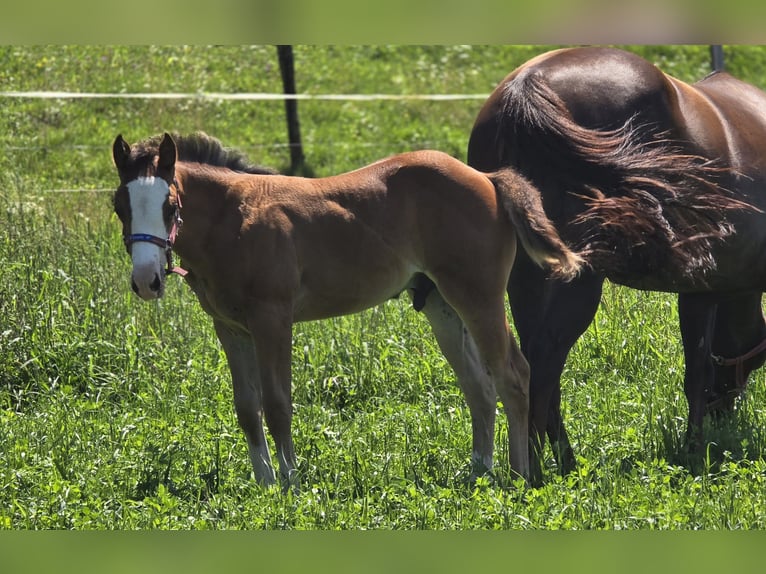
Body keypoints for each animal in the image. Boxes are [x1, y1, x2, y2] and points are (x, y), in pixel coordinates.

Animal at [111, 131, 584, 488]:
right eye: (119, 206)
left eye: (171, 206)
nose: (147, 281)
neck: (236, 221)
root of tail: (487, 178)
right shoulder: (230, 328)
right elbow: (247, 408)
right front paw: (264, 485)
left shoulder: (272, 320)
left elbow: (278, 403)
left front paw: (291, 485)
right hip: (442, 306)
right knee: (478, 388)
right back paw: (477, 474)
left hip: (477, 295)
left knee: (512, 375)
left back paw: (520, 476)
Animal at [467, 46, 766, 482]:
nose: (723, 413)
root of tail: (525, 88)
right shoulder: (701, 290)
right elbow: (697, 371)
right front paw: (695, 449)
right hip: (577, 279)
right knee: (544, 360)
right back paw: (538, 469)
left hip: (527, 277)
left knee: (531, 365)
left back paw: (562, 462)